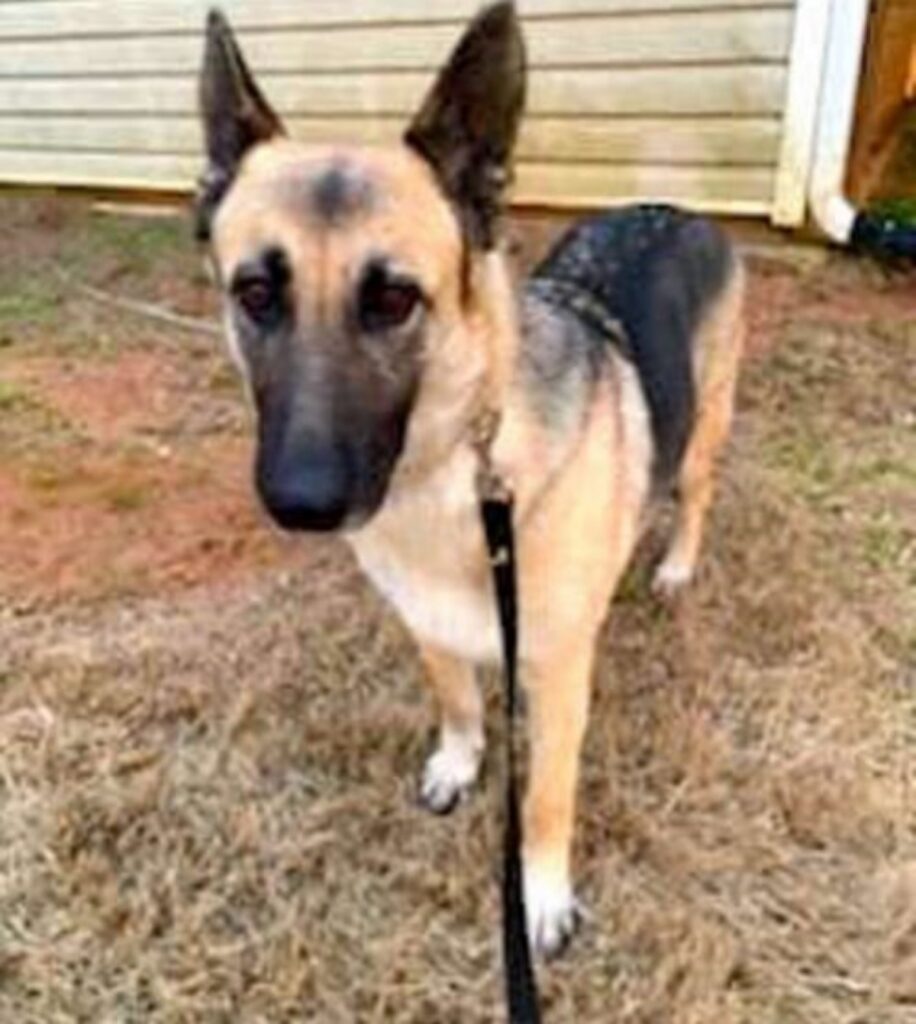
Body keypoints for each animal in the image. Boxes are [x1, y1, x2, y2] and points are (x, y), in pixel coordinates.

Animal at [195, 4, 745, 954]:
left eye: (392, 300)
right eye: (256, 293)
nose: (301, 503)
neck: (459, 478)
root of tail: (677, 211)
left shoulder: (558, 682)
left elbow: (547, 799)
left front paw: (543, 894)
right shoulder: (431, 628)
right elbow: (457, 702)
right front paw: (460, 762)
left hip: (706, 430)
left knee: (696, 494)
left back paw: (675, 563)